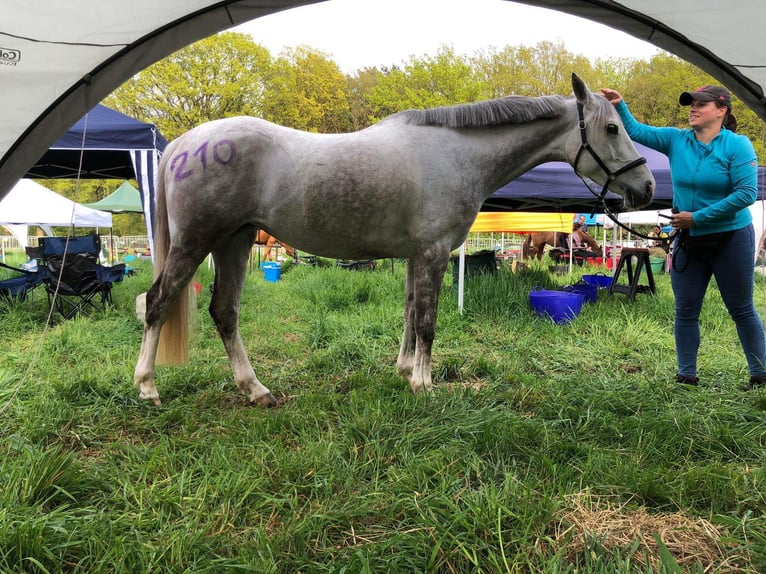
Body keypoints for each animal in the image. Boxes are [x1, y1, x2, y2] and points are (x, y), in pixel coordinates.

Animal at [134, 74, 656, 408]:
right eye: (612, 128)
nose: (647, 187)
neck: (456, 154)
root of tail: (182, 145)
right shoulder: (433, 254)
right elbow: (426, 322)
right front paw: (424, 386)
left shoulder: (414, 256)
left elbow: (408, 314)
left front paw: (406, 373)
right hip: (196, 243)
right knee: (158, 302)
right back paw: (148, 387)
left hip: (234, 243)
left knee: (224, 311)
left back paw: (256, 390)